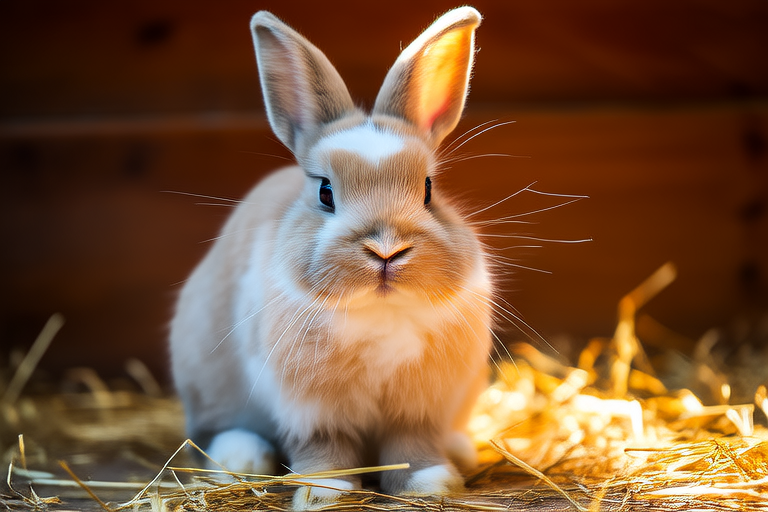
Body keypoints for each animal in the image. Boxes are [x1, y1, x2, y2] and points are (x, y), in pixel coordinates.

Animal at [169, 6, 493, 509]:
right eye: (325, 192)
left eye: (428, 190)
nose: (386, 250)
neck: (380, 311)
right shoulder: (311, 408)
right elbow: (326, 448)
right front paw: (326, 493)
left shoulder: (419, 407)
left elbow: (412, 446)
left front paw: (432, 483)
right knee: (211, 432)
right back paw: (243, 457)